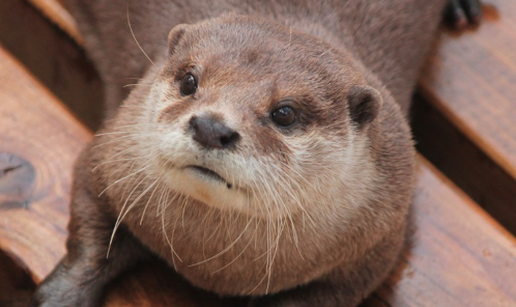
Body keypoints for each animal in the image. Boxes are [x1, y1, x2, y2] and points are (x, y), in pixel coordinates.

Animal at [32, 0, 480, 307]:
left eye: (284, 113)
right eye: (190, 81)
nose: (211, 128)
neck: (208, 263)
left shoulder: (376, 247)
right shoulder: (107, 157)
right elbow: (88, 239)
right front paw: (60, 295)